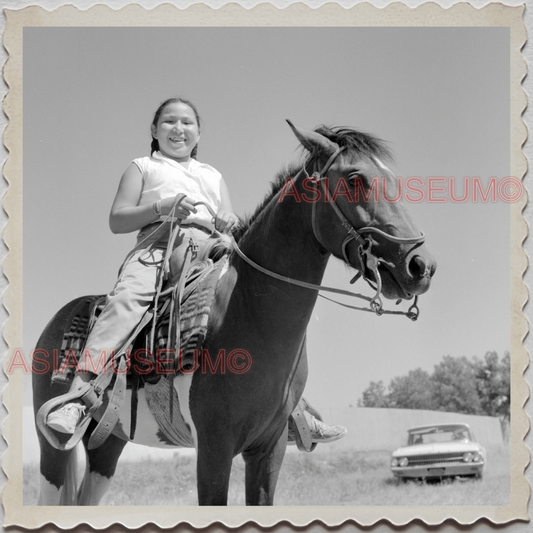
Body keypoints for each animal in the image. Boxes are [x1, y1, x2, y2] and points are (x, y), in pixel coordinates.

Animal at [33, 122, 434, 504]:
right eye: (355, 178)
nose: (420, 265)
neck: (251, 316)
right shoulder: (214, 447)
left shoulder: (269, 449)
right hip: (52, 448)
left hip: (108, 441)